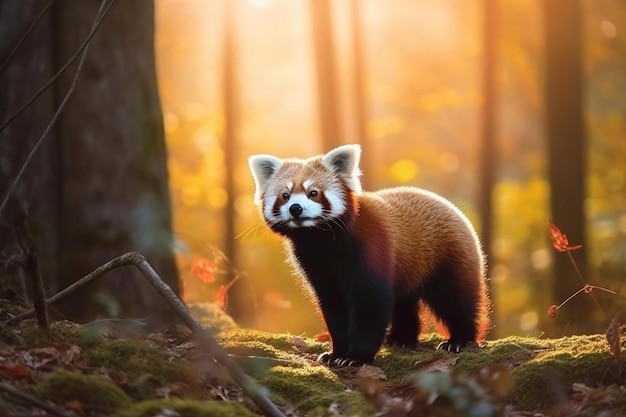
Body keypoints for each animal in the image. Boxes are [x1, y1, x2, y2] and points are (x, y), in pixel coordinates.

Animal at [247, 145, 488, 366]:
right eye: (285, 196)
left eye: (313, 193)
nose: (295, 208)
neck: (321, 240)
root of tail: (450, 206)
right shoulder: (316, 265)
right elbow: (334, 307)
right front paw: (336, 353)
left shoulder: (370, 249)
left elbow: (370, 304)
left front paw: (356, 356)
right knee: (404, 303)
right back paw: (401, 339)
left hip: (450, 259)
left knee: (456, 300)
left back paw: (459, 340)